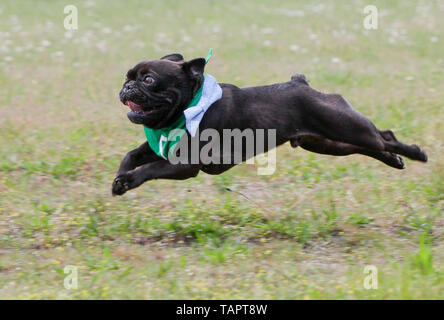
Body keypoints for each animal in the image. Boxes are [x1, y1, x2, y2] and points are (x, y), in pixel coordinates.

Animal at [111, 53, 426, 195]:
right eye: (128, 76)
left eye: (148, 80)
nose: (126, 86)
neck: (188, 107)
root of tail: (304, 85)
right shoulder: (162, 147)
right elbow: (133, 155)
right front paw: (121, 177)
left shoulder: (185, 164)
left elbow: (150, 168)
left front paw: (128, 180)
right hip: (326, 142)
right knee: (370, 146)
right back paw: (394, 160)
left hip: (346, 126)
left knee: (384, 136)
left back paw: (415, 153)